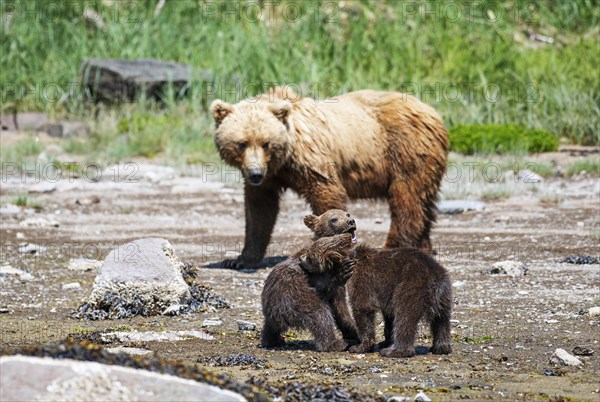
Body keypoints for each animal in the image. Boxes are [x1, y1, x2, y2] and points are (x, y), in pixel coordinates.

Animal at [210, 88, 446, 266]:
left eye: (266, 143)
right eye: (242, 143)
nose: (255, 173)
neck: (285, 158)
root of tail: (432, 112)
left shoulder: (312, 159)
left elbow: (326, 191)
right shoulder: (270, 178)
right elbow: (259, 209)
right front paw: (240, 259)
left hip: (405, 149)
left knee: (407, 198)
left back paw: (393, 245)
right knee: (424, 200)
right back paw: (424, 246)